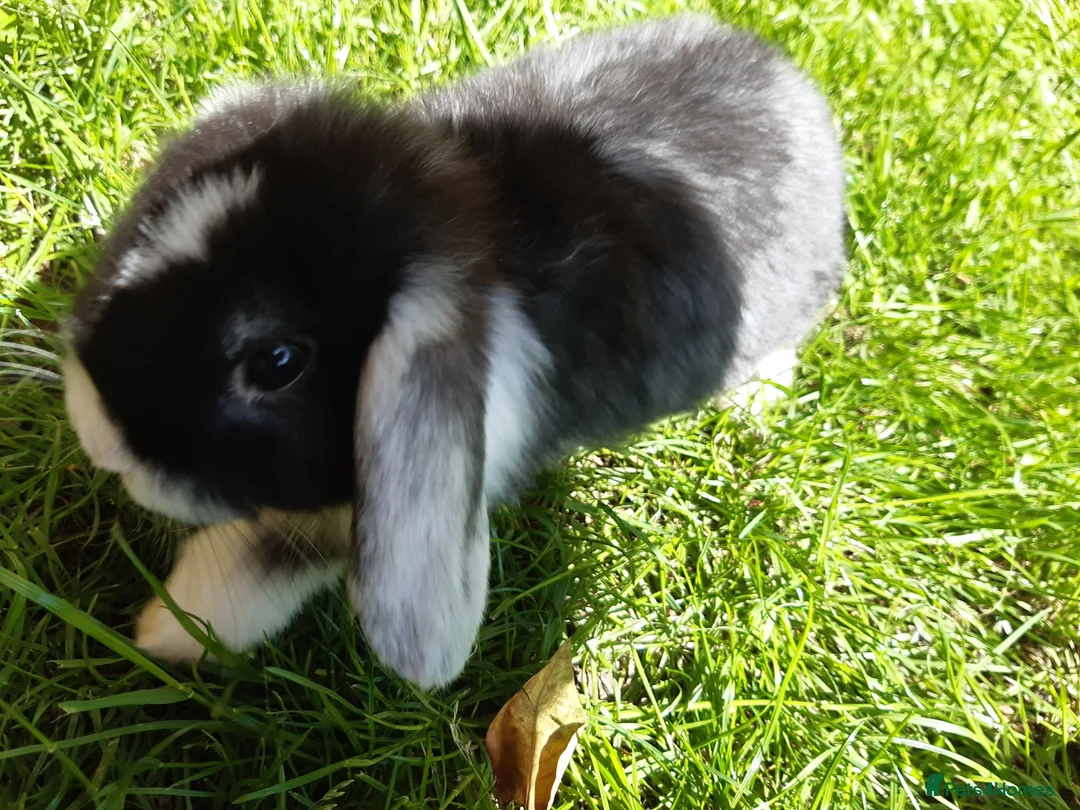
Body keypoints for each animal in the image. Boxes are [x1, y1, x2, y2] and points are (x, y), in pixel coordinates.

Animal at [63, 14, 846, 689]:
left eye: (277, 363)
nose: (102, 441)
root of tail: (797, 89)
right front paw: (157, 629)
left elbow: (255, 569)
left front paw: (165, 634)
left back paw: (756, 401)